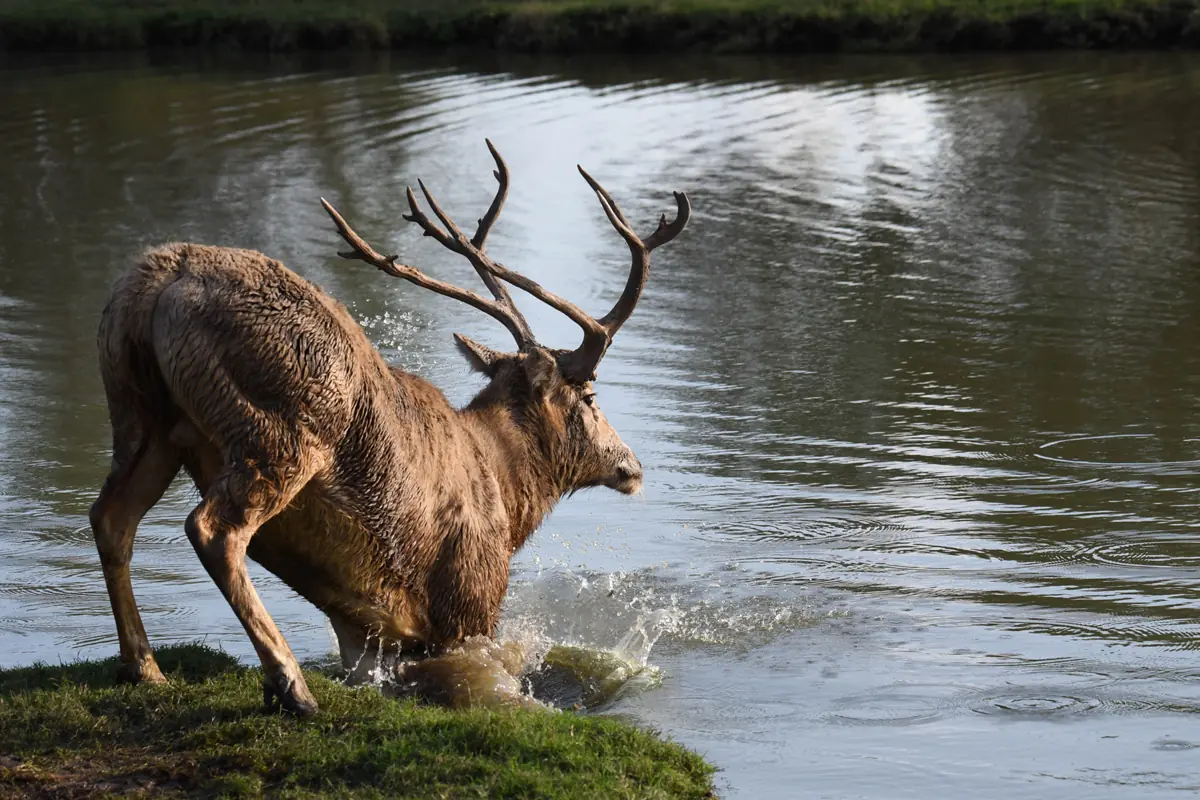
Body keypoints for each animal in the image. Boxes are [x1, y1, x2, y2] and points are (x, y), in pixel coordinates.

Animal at [87, 140, 690, 716]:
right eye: (590, 396)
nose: (631, 465)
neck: (509, 493)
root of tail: (165, 281)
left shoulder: (370, 632)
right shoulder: (468, 601)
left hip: (140, 415)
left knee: (111, 517)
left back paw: (144, 668)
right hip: (283, 430)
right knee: (212, 529)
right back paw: (291, 687)